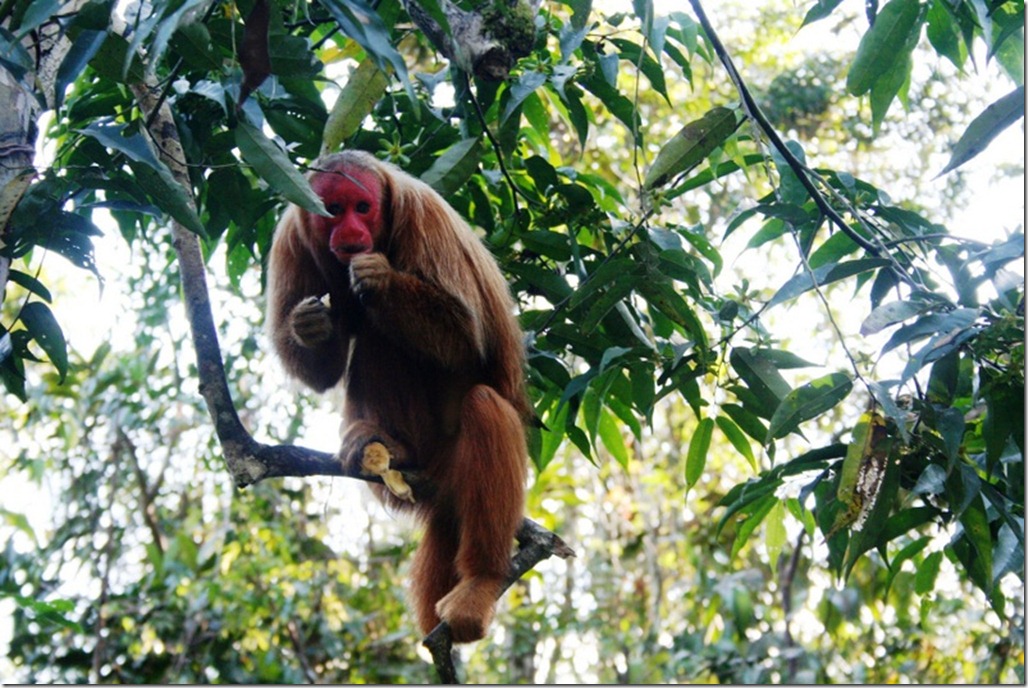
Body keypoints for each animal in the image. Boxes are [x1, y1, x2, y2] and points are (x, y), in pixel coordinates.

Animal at [267, 150, 530, 645]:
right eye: (334, 210)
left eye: (362, 208)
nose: (351, 233)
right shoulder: (290, 238)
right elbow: (322, 373)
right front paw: (309, 325)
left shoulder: (426, 221)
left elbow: (467, 338)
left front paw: (380, 280)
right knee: (377, 338)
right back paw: (387, 444)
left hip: (454, 462)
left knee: (484, 406)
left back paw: (482, 580)